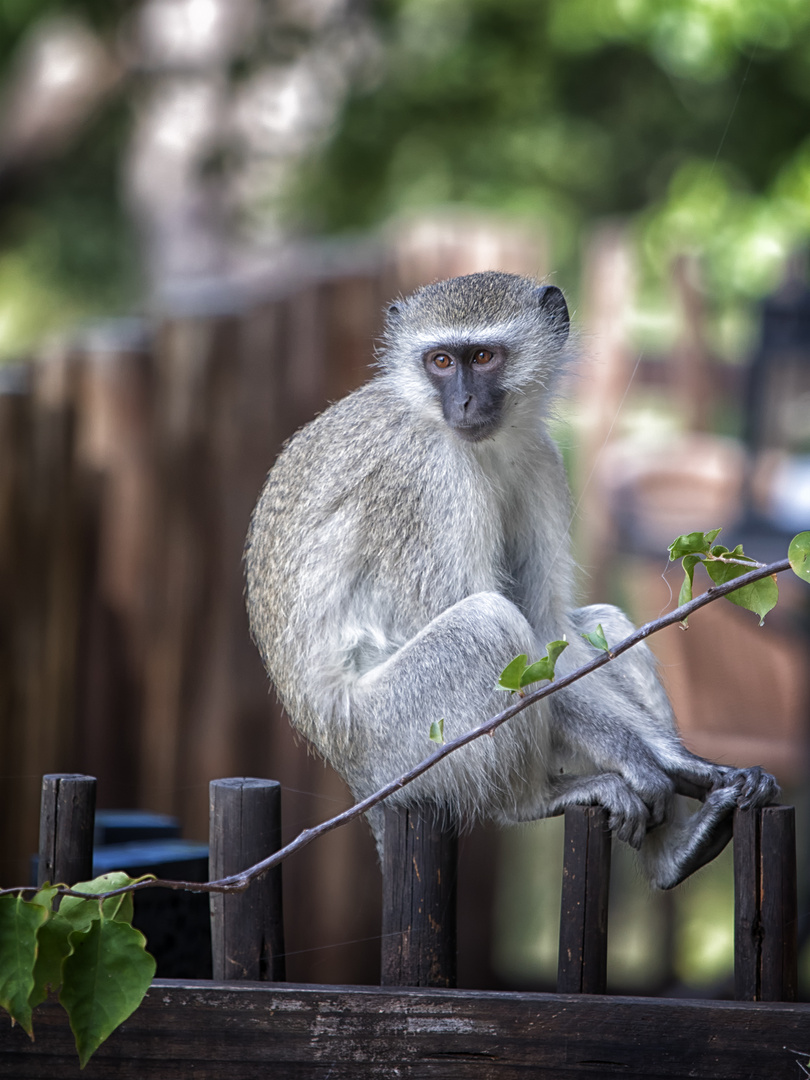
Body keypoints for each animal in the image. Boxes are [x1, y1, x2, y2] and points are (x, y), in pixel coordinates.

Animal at [246, 270, 781, 885]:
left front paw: (680, 762)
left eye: (482, 356)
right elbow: (492, 628)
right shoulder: (427, 478)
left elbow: (547, 628)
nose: (463, 401)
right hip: (397, 744)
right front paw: (636, 760)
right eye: (441, 361)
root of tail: (353, 776)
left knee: (599, 620)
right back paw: (529, 801)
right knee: (486, 623)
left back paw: (673, 851)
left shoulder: (540, 457)